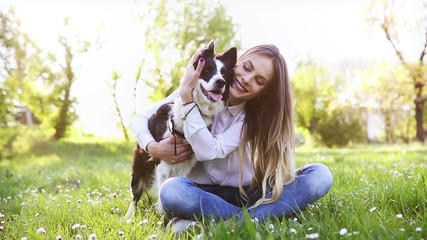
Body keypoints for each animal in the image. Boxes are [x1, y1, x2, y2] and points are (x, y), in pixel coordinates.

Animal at [125, 41, 237, 219]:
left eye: (224, 74)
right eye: (207, 70)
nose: (220, 82)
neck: (198, 109)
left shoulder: (186, 165)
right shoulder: (162, 164)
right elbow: (162, 191)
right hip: (140, 166)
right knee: (135, 194)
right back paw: (129, 216)